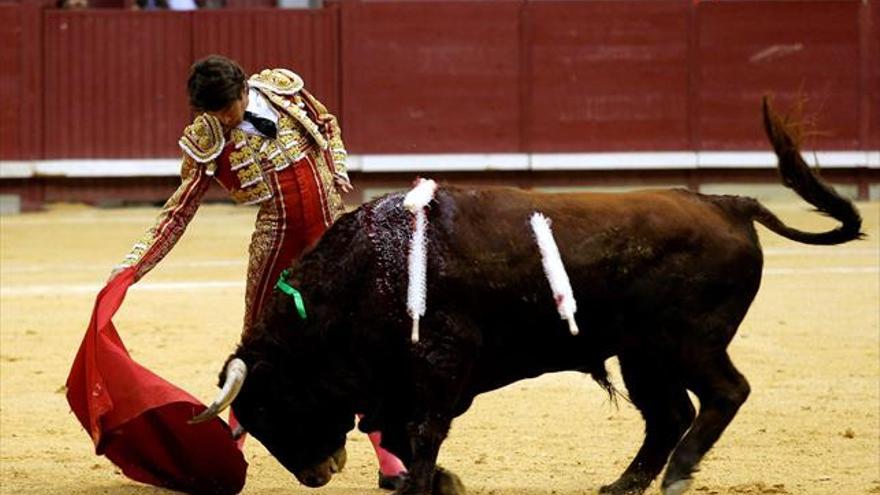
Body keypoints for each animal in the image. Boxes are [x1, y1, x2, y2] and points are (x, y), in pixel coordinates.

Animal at [191, 98, 860, 495]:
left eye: (272, 405)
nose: (315, 475)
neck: (364, 274)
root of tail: (727, 203)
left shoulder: (441, 365)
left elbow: (423, 433)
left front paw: (423, 485)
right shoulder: (405, 382)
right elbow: (406, 435)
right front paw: (440, 483)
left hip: (688, 342)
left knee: (725, 394)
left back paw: (679, 474)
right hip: (642, 354)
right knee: (669, 414)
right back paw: (625, 485)